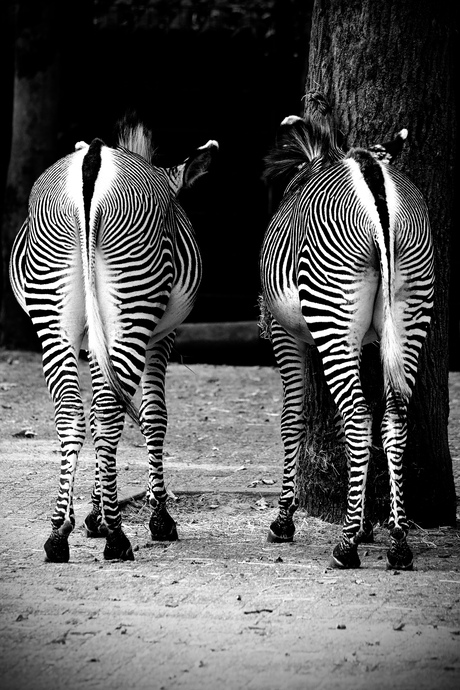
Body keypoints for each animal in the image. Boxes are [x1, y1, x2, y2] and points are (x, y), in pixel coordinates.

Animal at [9, 117, 218, 562]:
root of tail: (94, 157)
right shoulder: (161, 337)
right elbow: (153, 415)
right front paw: (155, 518)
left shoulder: (91, 342)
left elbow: (98, 413)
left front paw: (90, 513)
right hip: (133, 311)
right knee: (108, 413)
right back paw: (118, 538)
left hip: (52, 312)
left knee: (74, 414)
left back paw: (59, 533)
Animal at [260, 94, 434, 570]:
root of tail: (375, 180)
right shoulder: (369, 341)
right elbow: (367, 419)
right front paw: (371, 523)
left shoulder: (285, 334)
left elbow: (292, 418)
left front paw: (284, 520)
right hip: (409, 311)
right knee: (391, 417)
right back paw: (397, 541)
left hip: (330, 312)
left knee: (357, 417)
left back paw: (346, 544)